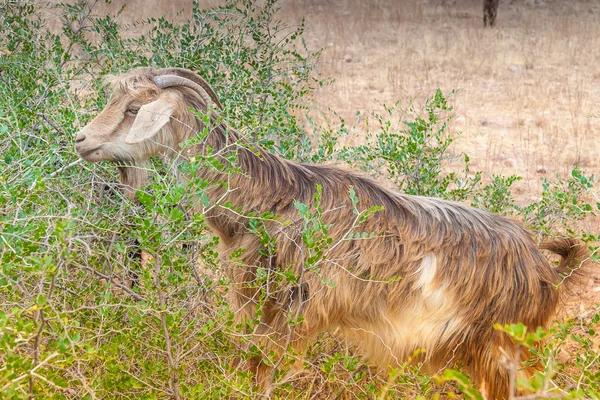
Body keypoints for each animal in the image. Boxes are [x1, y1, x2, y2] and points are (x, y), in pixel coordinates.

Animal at [74, 67, 584, 398]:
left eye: (134, 108)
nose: (81, 139)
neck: (271, 201)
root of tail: (544, 267)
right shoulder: (257, 302)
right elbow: (253, 364)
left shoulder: (299, 310)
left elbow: (265, 370)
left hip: (503, 350)